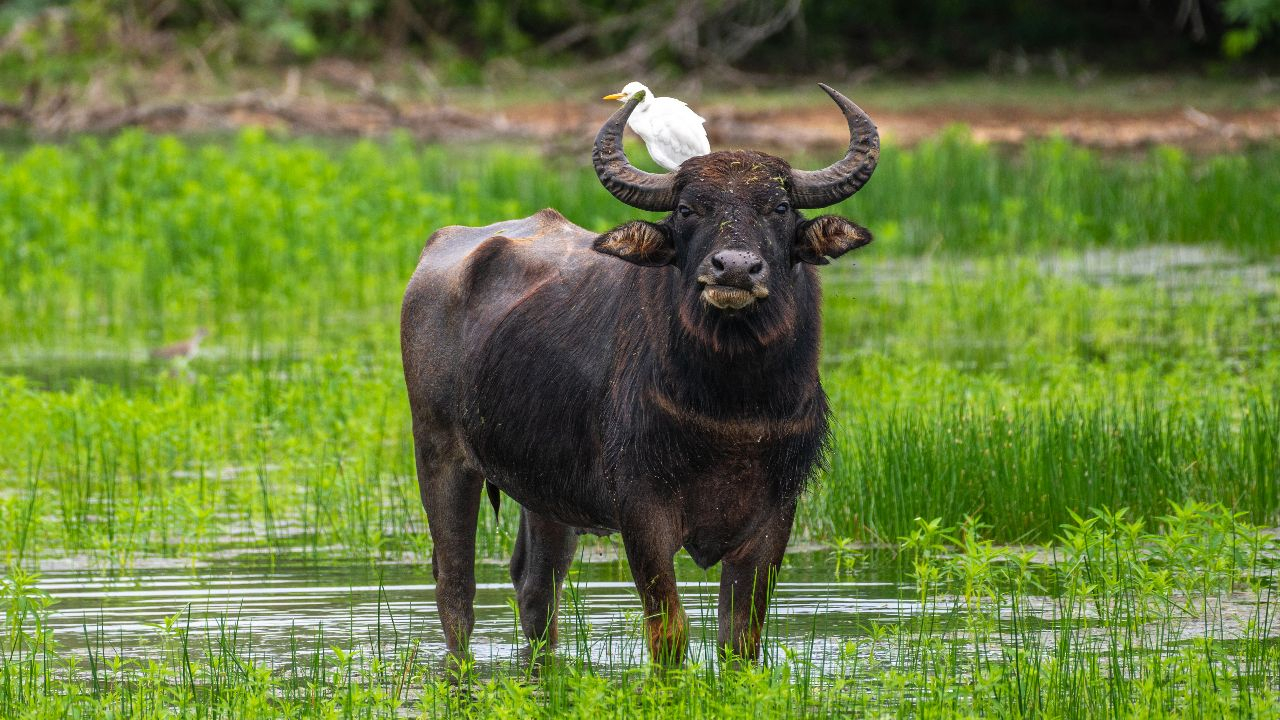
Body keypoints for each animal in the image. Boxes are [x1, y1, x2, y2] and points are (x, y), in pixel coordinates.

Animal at [401, 83, 880, 661]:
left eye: (780, 206)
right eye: (688, 209)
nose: (734, 269)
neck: (732, 405)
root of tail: (441, 247)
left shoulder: (775, 514)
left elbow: (741, 638)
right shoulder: (641, 510)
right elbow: (668, 632)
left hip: (545, 493)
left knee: (535, 585)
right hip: (439, 453)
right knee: (456, 586)